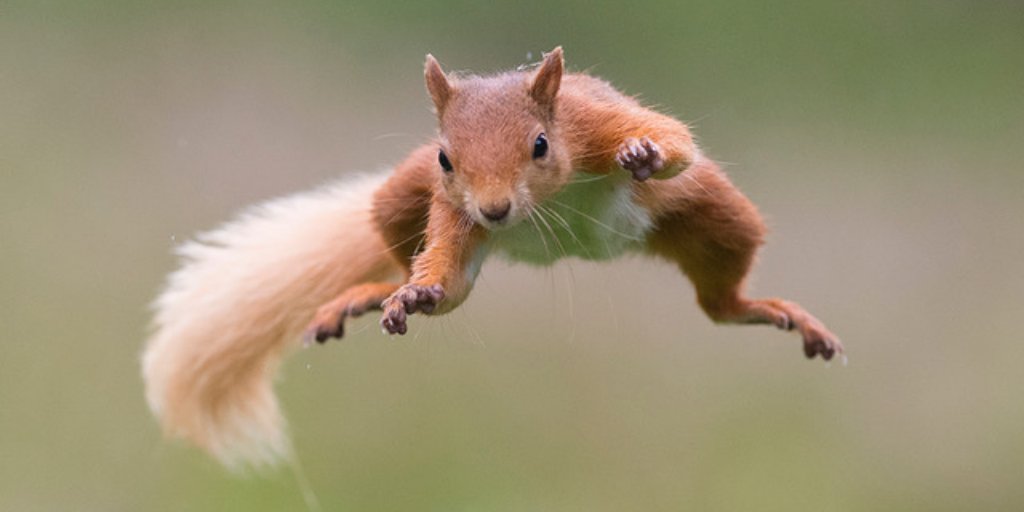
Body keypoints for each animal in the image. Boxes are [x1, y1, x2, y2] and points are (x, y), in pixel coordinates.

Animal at [142, 47, 843, 470]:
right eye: (447, 158)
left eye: (540, 144)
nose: (495, 210)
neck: (545, 199)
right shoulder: (450, 212)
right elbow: (446, 283)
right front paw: (415, 296)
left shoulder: (595, 120)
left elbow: (673, 142)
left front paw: (646, 152)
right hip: (399, 199)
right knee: (403, 256)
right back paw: (374, 292)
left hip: (719, 215)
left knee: (721, 301)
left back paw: (767, 308)